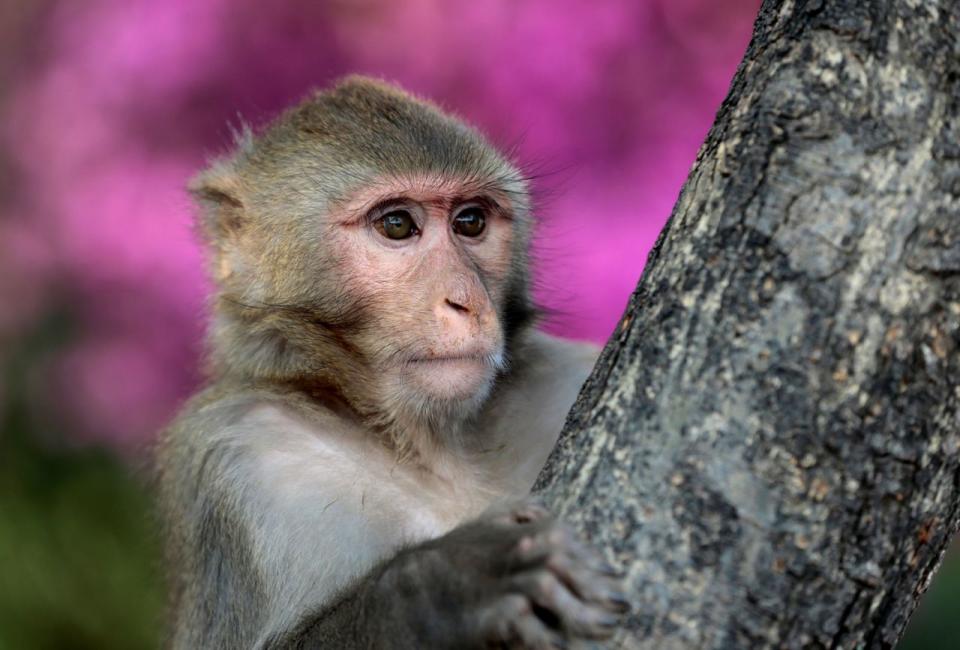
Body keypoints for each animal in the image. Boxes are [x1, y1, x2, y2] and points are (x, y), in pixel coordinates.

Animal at [158, 77, 628, 648]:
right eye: (398, 224)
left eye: (471, 221)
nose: (464, 302)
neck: (430, 445)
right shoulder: (238, 456)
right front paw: (455, 583)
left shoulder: (560, 378)